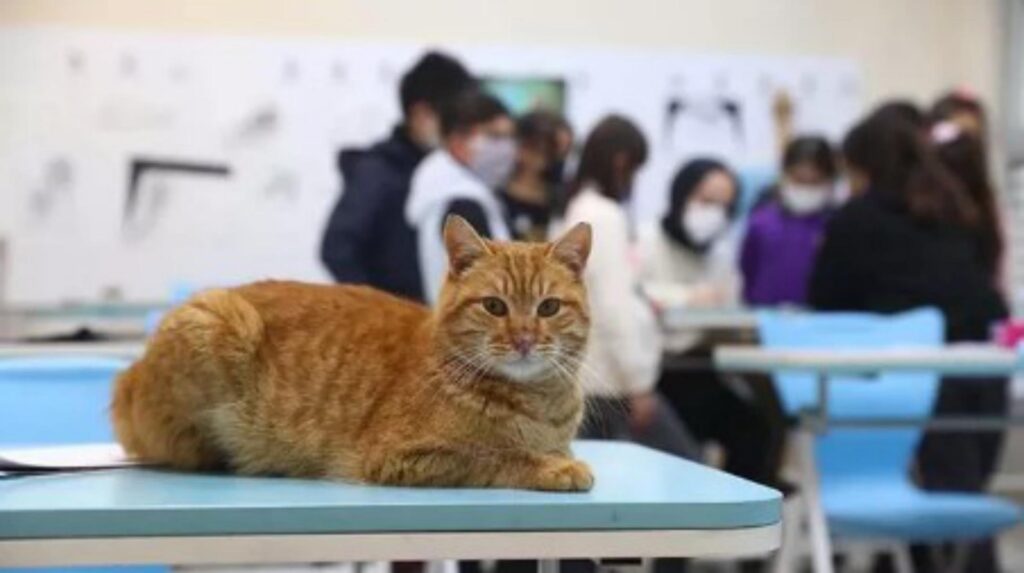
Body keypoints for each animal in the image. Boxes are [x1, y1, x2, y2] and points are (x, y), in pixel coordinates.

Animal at [112, 216, 593, 491]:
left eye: (548, 308)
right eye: (494, 306)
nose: (524, 339)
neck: (536, 403)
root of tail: (127, 377)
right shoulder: (402, 457)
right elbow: (495, 456)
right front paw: (554, 468)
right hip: (217, 319)